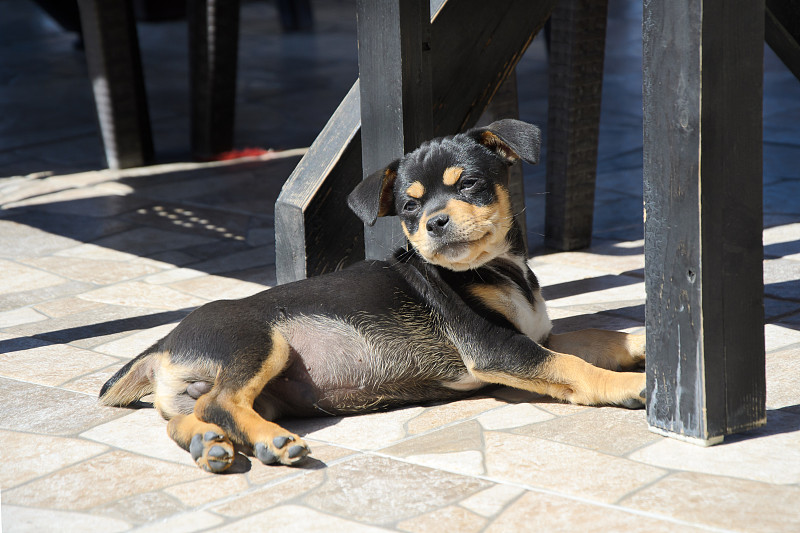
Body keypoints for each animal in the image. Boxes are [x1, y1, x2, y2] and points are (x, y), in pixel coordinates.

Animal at [100, 118, 648, 472]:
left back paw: (210, 447)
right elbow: (576, 367)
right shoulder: (498, 348)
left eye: (469, 184)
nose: (435, 222)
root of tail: (163, 346)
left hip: (219, 392)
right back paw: (270, 443)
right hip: (257, 342)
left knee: (185, 419)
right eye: (408, 206)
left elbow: (601, 334)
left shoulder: (536, 337)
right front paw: (629, 385)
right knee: (222, 401)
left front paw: (645, 342)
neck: (499, 270)